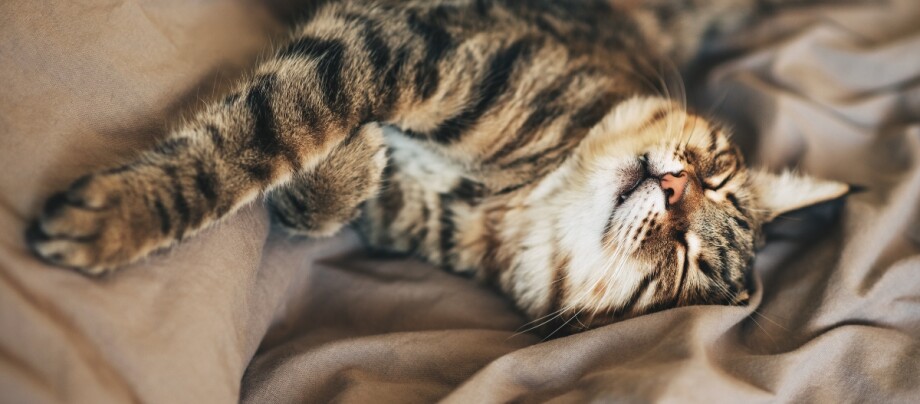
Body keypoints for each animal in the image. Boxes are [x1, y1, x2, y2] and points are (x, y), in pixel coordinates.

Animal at [27, 0, 848, 334]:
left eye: (683, 263)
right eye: (717, 176)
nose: (673, 187)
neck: (522, 197)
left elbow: (307, 196)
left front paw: (352, 162)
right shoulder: (399, 40)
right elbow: (267, 130)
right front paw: (128, 215)